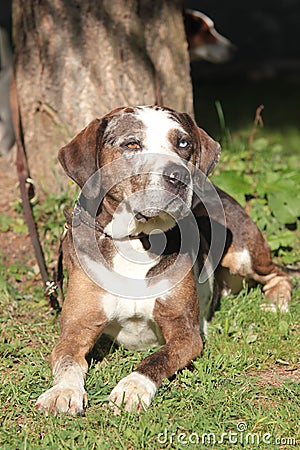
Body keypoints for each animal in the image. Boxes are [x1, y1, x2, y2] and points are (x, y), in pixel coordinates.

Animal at [35, 104, 290, 414]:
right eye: (132, 144)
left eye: (183, 143)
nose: (178, 176)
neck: (135, 241)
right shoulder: (75, 328)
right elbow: (67, 361)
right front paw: (63, 391)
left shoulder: (186, 333)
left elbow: (156, 358)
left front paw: (133, 386)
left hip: (243, 252)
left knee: (280, 274)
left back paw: (275, 304)